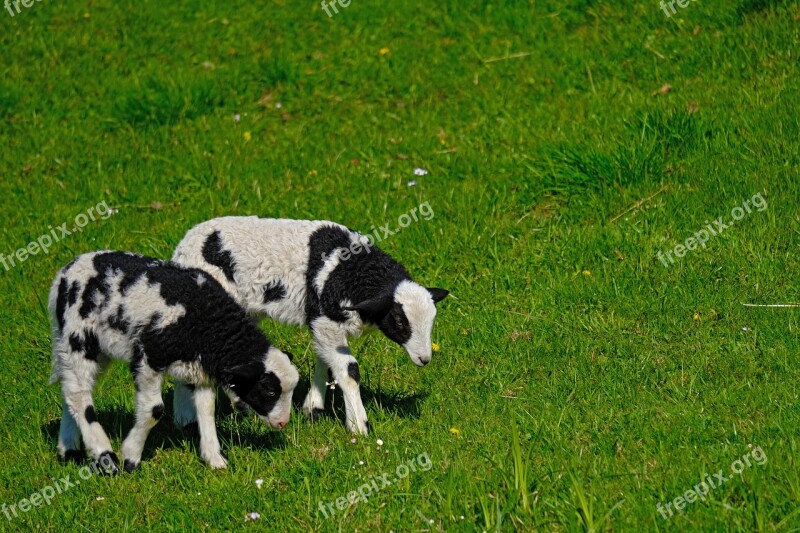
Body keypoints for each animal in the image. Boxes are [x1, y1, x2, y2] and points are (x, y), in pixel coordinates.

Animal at [49, 249, 300, 470]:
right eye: (269, 390)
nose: (283, 423)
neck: (210, 323)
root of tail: (65, 274)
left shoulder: (199, 369)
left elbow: (207, 408)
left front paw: (214, 459)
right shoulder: (149, 356)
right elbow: (154, 409)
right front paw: (131, 456)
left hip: (95, 350)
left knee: (70, 390)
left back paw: (68, 449)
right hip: (79, 339)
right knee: (78, 395)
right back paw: (105, 456)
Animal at [171, 214, 446, 434]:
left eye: (432, 320)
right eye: (399, 321)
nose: (424, 359)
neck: (351, 272)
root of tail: (184, 244)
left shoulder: (321, 322)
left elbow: (324, 358)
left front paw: (313, 406)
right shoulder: (326, 319)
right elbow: (350, 370)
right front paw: (359, 426)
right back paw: (185, 418)